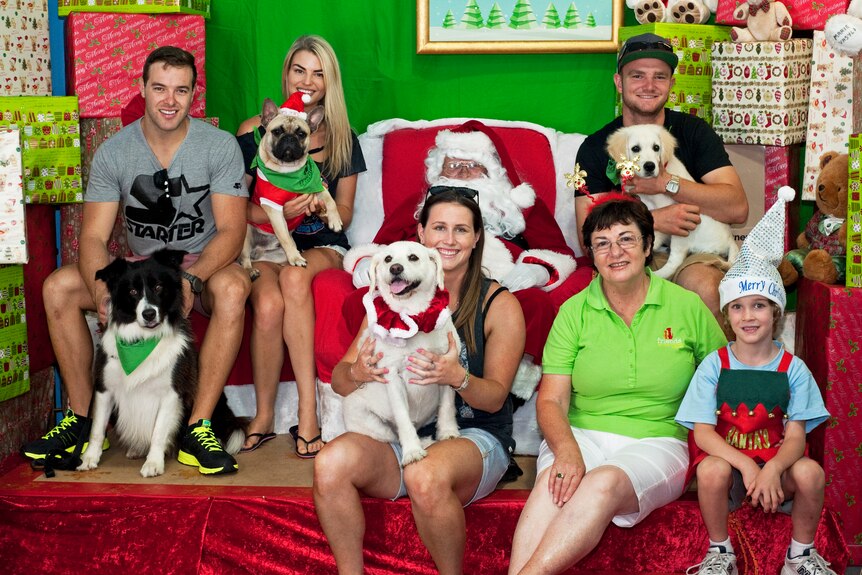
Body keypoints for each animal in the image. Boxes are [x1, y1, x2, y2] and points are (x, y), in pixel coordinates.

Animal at [340, 241, 462, 466]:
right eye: (388, 259)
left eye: (413, 257)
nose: (395, 268)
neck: (414, 315)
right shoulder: (393, 377)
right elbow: (403, 417)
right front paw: (412, 451)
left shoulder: (447, 369)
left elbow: (447, 406)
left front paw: (448, 431)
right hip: (369, 420)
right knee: (395, 434)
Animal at [608, 125, 744, 280]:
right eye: (635, 148)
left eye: (656, 147)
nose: (650, 166)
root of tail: (730, 240)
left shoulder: (666, 209)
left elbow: (656, 226)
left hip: (683, 231)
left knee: (675, 262)